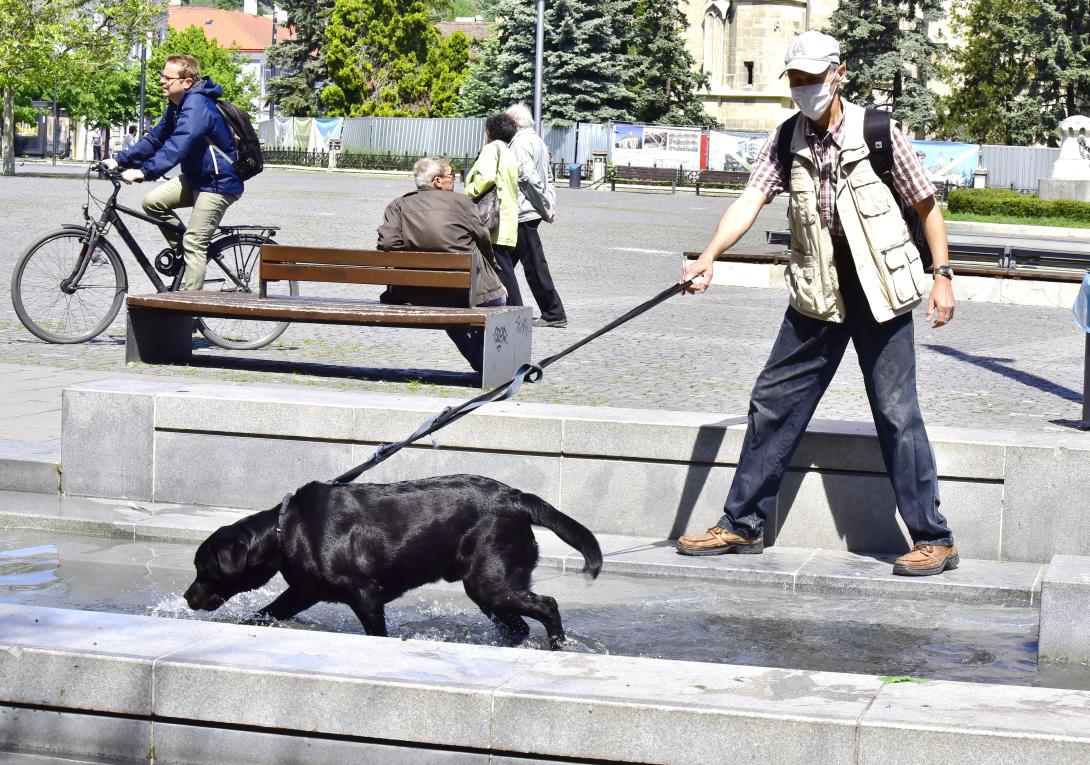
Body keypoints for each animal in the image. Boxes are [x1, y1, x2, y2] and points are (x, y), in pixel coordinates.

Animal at [182, 477, 601, 649]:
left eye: (203, 569)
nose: (187, 596)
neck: (286, 530)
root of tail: (516, 498)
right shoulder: (302, 591)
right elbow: (263, 614)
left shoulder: (365, 595)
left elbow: (375, 633)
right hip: (488, 589)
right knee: (518, 625)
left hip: (490, 582)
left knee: (547, 606)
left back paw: (558, 646)